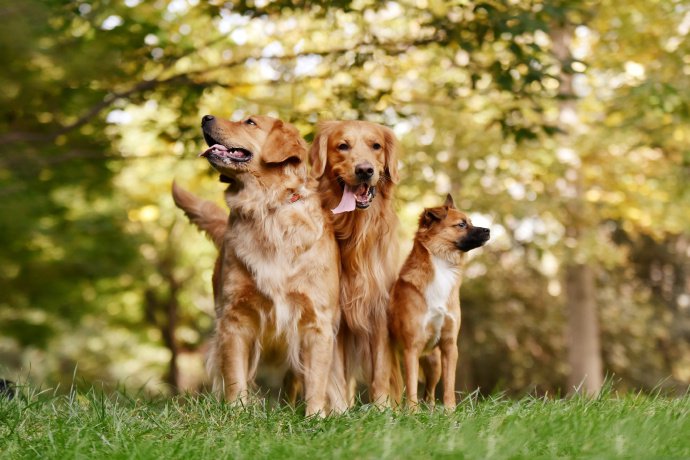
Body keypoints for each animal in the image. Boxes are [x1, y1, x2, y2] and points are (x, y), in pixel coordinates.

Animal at [388, 193, 490, 406]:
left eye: (471, 222)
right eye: (461, 224)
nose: (488, 230)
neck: (442, 266)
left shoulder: (449, 345)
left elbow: (449, 386)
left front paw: (450, 411)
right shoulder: (411, 348)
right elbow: (411, 390)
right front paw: (412, 412)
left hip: (433, 362)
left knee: (429, 393)